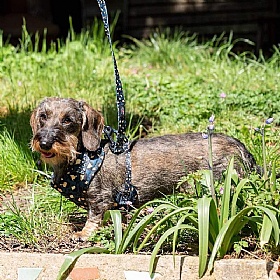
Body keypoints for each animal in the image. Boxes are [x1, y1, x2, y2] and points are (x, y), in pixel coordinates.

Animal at [30, 97, 256, 240]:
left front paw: (84, 234)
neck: (82, 159)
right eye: (43, 116)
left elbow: (93, 217)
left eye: (68, 120)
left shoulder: (100, 198)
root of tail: (239, 145)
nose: (45, 142)